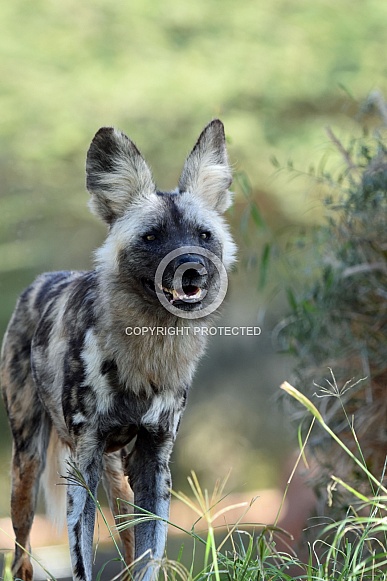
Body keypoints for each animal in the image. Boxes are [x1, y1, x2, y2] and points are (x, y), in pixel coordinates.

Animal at [0, 120, 236, 576]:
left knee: (128, 550)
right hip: (27, 470)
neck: (148, 351)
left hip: (120, 479)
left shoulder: (153, 464)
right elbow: (82, 562)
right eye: (151, 236)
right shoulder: (84, 466)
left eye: (204, 235)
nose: (193, 270)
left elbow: (147, 562)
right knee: (21, 557)